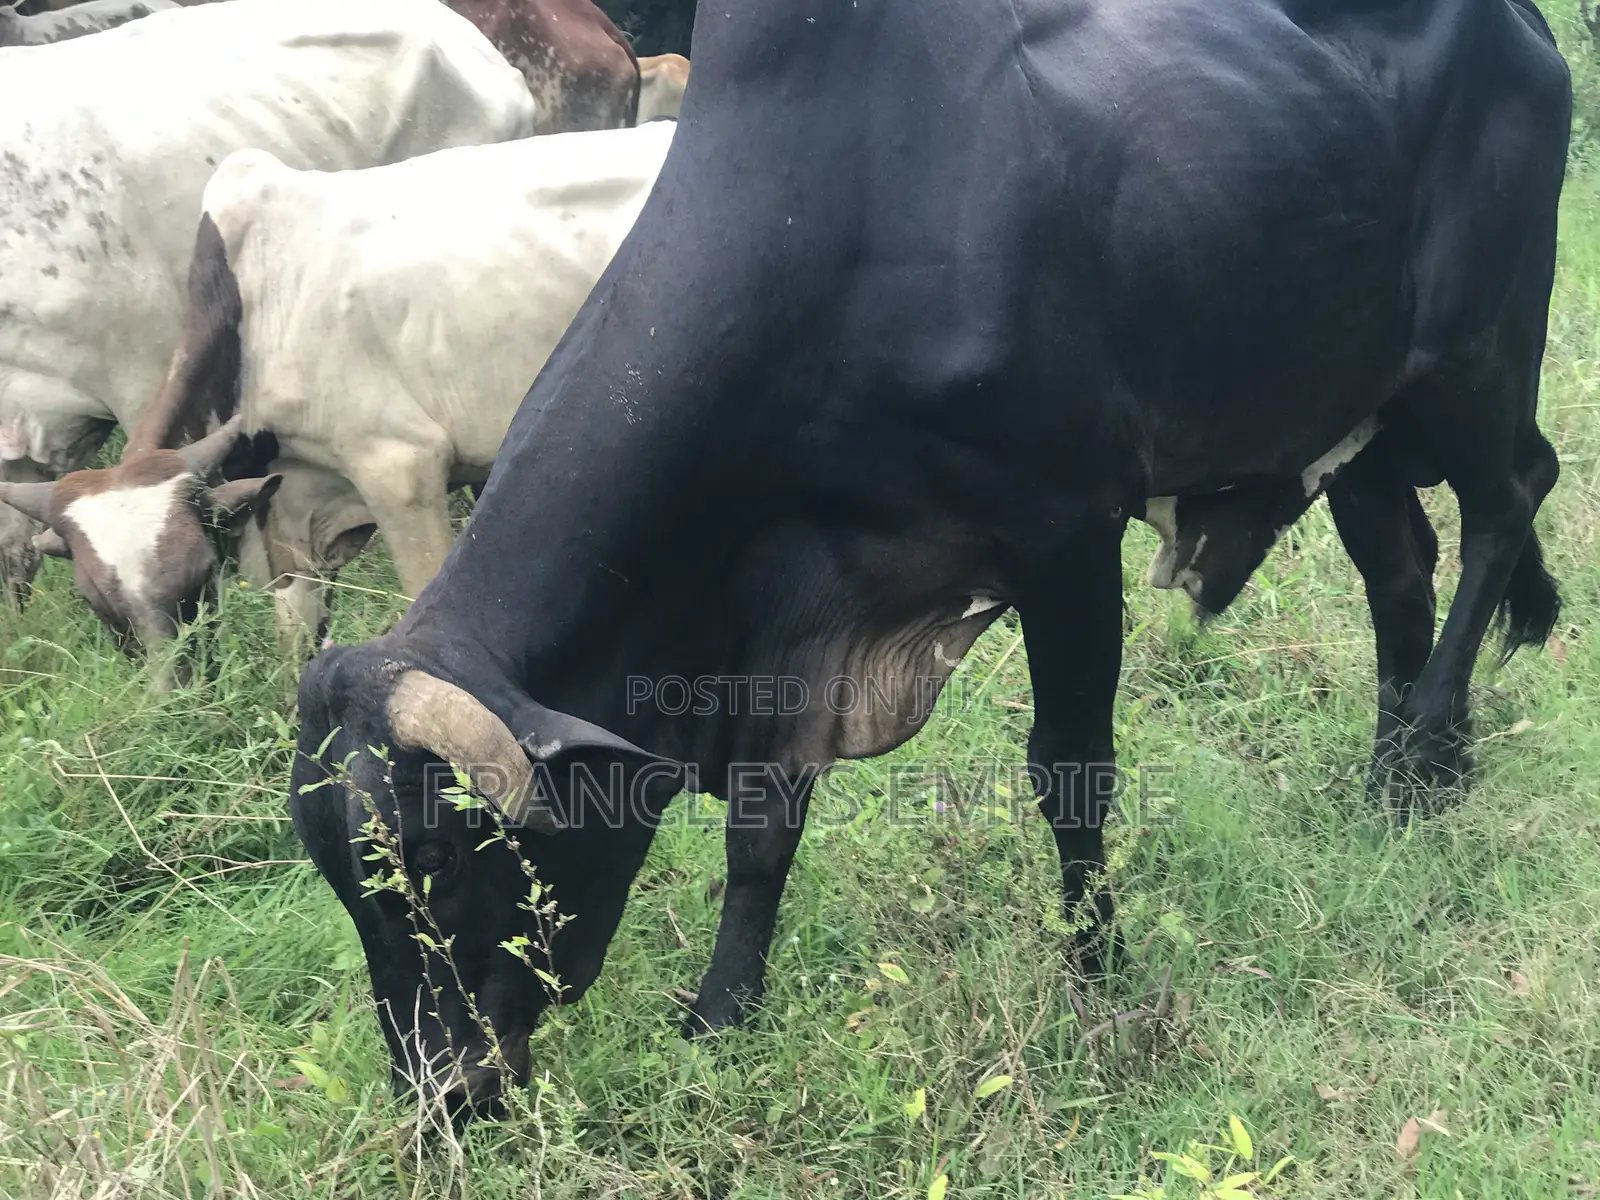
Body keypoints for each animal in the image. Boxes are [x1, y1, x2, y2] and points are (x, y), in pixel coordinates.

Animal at [0, 122, 678, 657]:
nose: (177, 697)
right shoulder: (287, 517)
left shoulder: (400, 469)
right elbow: (294, 639)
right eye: (99, 605)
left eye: (196, 578)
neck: (251, 311)